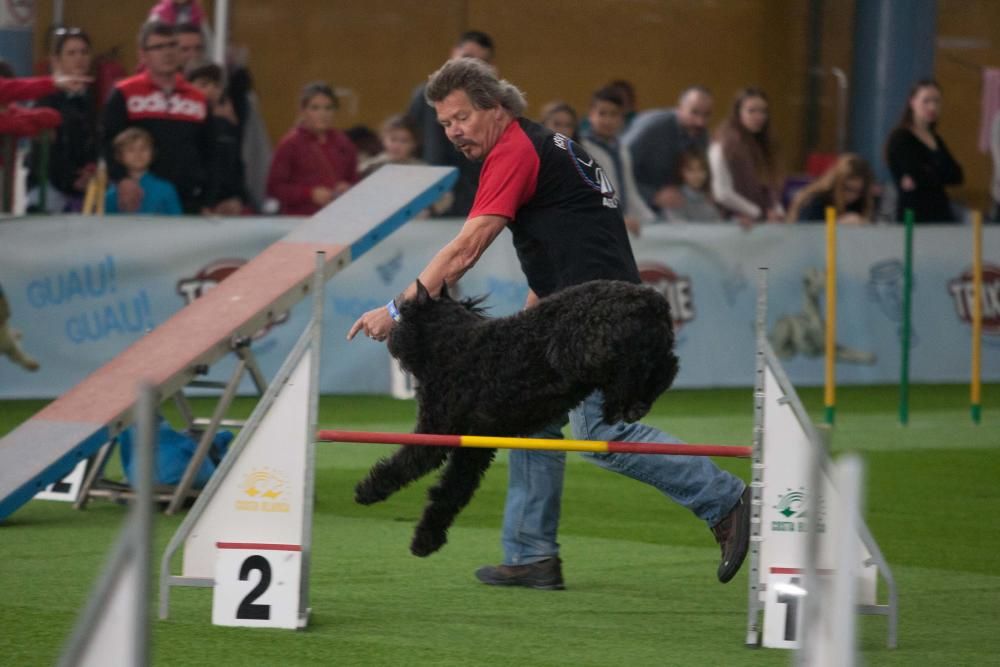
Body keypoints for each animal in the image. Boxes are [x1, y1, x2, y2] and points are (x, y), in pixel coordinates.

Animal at [354, 278, 680, 560]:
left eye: (404, 313)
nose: (389, 336)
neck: (456, 346)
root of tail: (652, 299)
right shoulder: (474, 446)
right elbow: (452, 491)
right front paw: (427, 539)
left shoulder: (436, 430)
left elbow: (404, 463)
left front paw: (369, 490)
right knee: (667, 364)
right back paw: (634, 401)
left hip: (585, 352)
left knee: (635, 367)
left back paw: (622, 405)